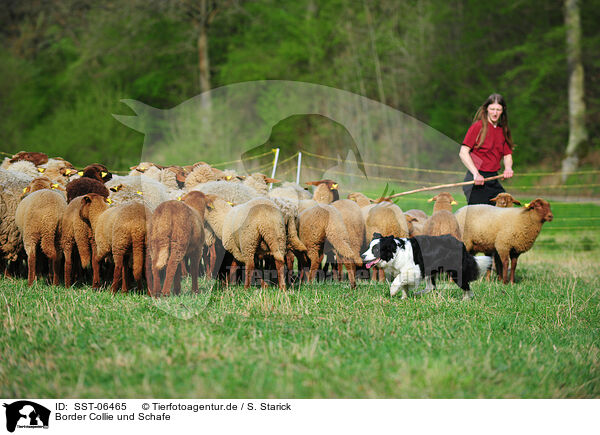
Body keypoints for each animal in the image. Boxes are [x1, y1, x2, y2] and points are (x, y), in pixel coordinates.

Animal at [360, 235, 492, 300]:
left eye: (376, 250)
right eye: (369, 247)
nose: (362, 256)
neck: (396, 251)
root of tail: (461, 244)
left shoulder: (414, 270)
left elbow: (398, 279)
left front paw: (393, 291)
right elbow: (403, 285)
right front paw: (404, 297)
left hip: (456, 272)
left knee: (466, 285)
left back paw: (466, 299)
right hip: (430, 271)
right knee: (431, 287)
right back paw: (417, 294)